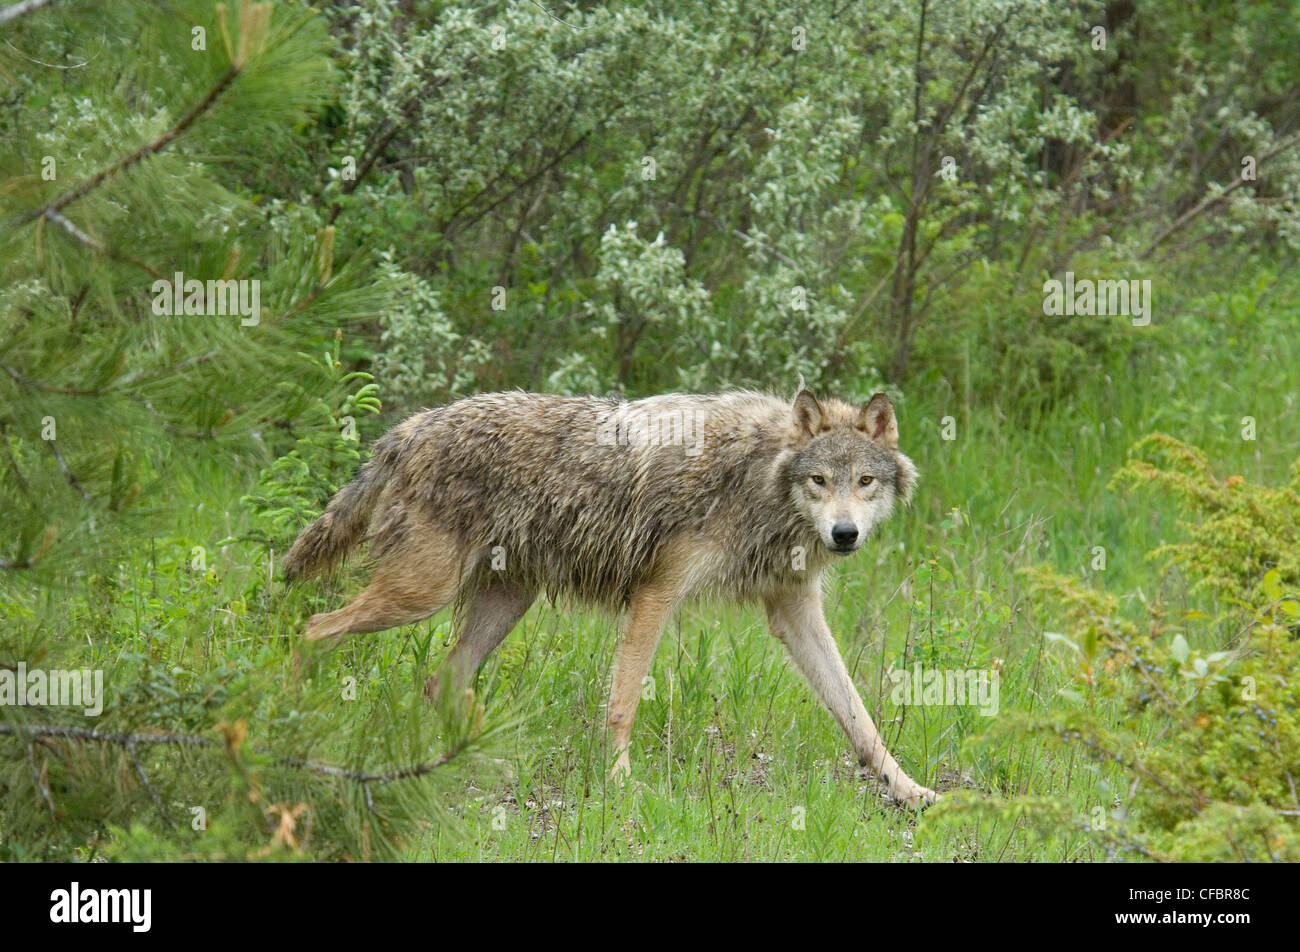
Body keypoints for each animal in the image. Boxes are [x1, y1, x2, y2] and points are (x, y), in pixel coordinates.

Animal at [284, 386, 939, 808]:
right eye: (819, 481)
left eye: (865, 482)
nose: (845, 534)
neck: (759, 480)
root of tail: (411, 425)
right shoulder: (657, 593)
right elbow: (623, 702)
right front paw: (622, 785)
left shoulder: (794, 609)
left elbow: (860, 717)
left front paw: (911, 791)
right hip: (422, 593)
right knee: (314, 627)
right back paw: (292, 722)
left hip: (504, 601)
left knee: (440, 680)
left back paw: (488, 756)